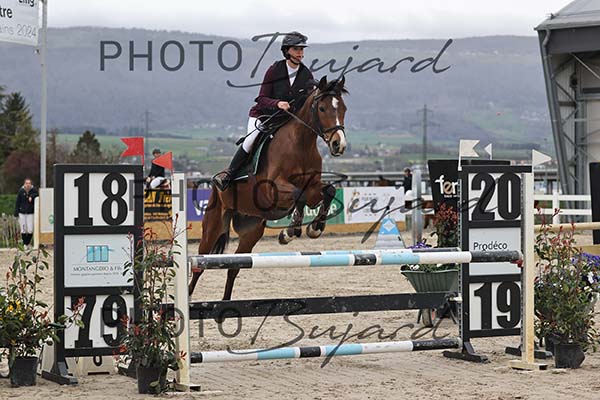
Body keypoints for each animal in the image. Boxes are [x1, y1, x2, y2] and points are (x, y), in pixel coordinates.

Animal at [189, 76, 348, 300]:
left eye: (343, 108)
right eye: (322, 108)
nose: (338, 145)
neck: (301, 144)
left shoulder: (312, 189)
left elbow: (328, 191)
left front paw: (315, 228)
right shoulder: (272, 190)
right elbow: (298, 195)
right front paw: (289, 232)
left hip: (251, 231)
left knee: (234, 267)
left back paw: (226, 303)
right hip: (213, 226)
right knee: (199, 265)